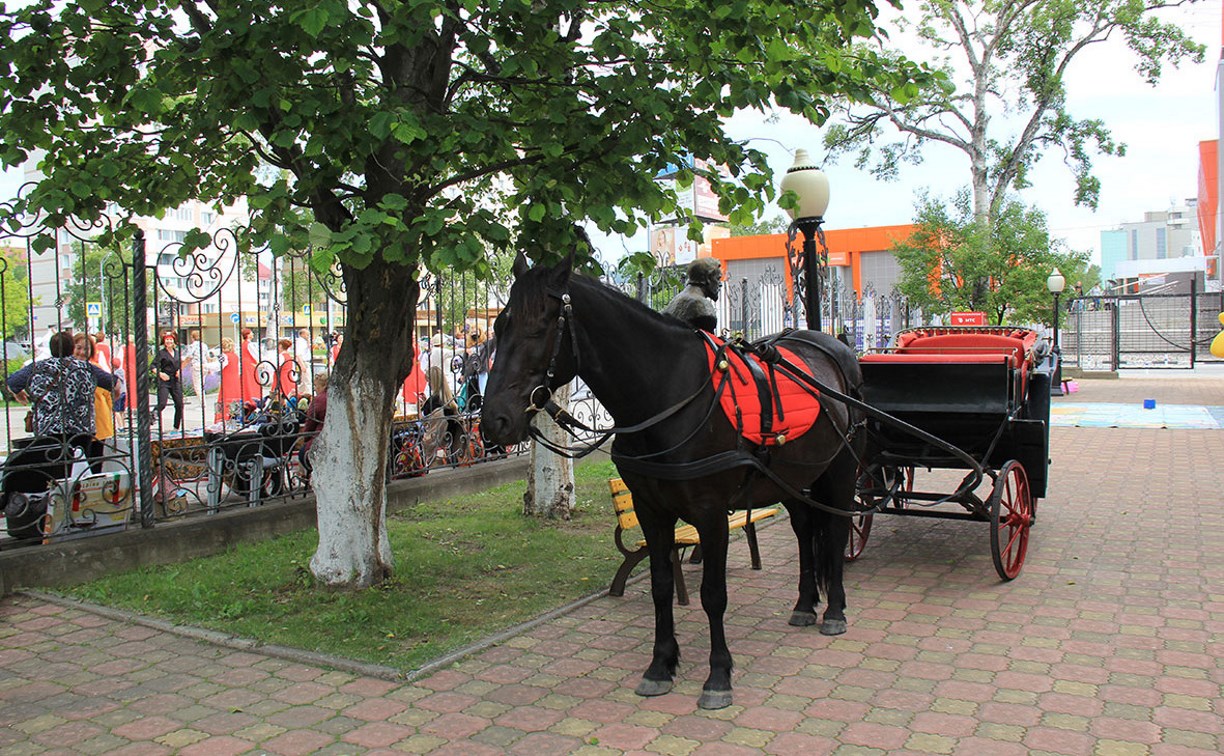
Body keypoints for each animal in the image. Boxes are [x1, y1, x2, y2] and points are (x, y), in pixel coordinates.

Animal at [477, 253, 861, 704]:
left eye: (538, 327)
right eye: (499, 326)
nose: (494, 421)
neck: (666, 394)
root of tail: (835, 345)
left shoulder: (711, 513)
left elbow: (713, 594)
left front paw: (718, 674)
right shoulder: (649, 509)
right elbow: (661, 585)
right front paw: (661, 664)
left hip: (841, 468)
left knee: (835, 530)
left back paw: (834, 610)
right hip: (794, 477)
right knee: (804, 530)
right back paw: (804, 604)